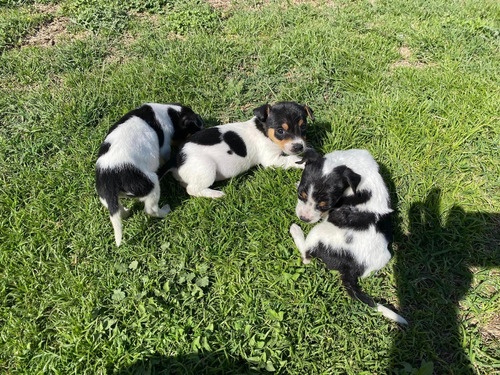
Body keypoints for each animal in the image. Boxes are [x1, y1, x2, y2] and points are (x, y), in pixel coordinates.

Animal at [95, 104, 203, 248]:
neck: (171, 113)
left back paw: (127, 212)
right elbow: (165, 155)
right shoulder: (164, 148)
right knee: (151, 210)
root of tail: (111, 178)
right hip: (151, 185)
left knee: (118, 210)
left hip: (105, 197)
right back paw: (165, 211)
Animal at [172, 101, 312, 198]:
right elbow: (292, 159)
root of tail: (178, 160)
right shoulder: (271, 160)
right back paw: (216, 194)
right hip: (205, 169)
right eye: (280, 131)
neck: (264, 130)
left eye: (303, 126)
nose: (299, 146)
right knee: (192, 189)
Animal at [290, 150, 406, 326]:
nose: (304, 219)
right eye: (300, 195)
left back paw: (296, 231)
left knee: (306, 256)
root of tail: (350, 268)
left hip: (319, 232)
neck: (347, 164)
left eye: (325, 205)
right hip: (384, 257)